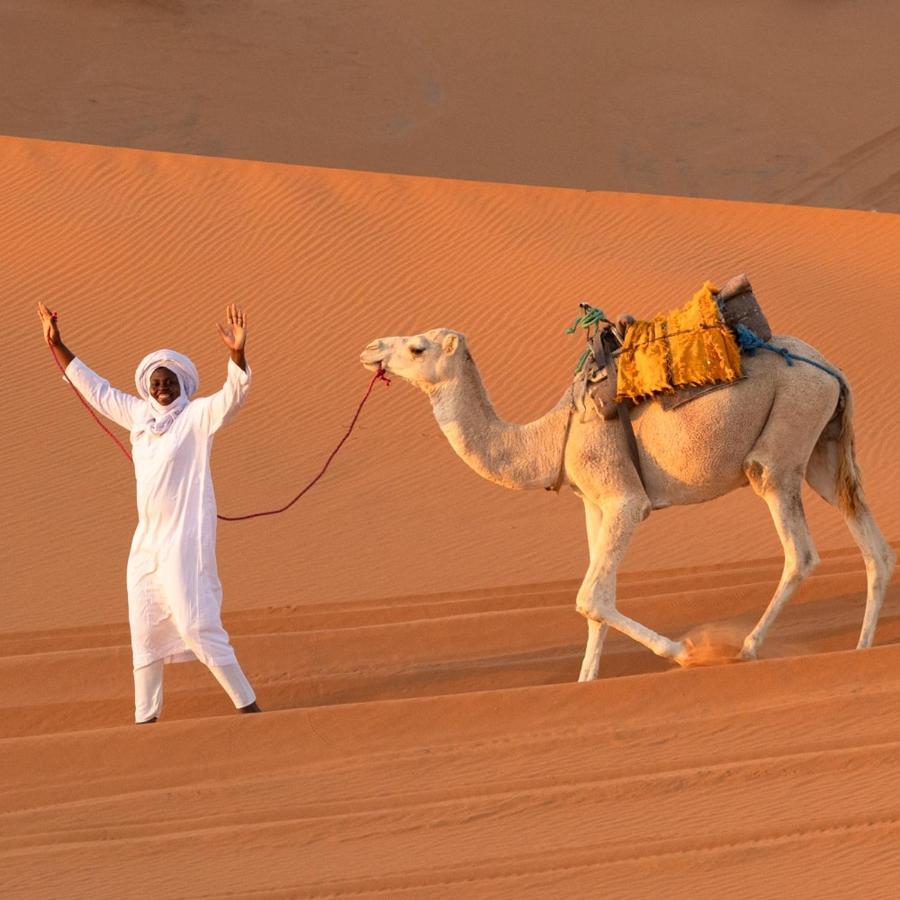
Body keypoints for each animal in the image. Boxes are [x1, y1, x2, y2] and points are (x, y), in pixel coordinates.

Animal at [358, 326, 892, 680]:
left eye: (417, 347)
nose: (369, 349)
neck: (549, 438)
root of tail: (834, 371)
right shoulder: (594, 505)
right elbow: (597, 600)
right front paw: (585, 681)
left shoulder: (624, 499)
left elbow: (590, 596)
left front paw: (683, 650)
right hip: (822, 446)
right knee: (872, 541)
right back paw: (863, 646)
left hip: (784, 436)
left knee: (798, 546)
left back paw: (747, 647)